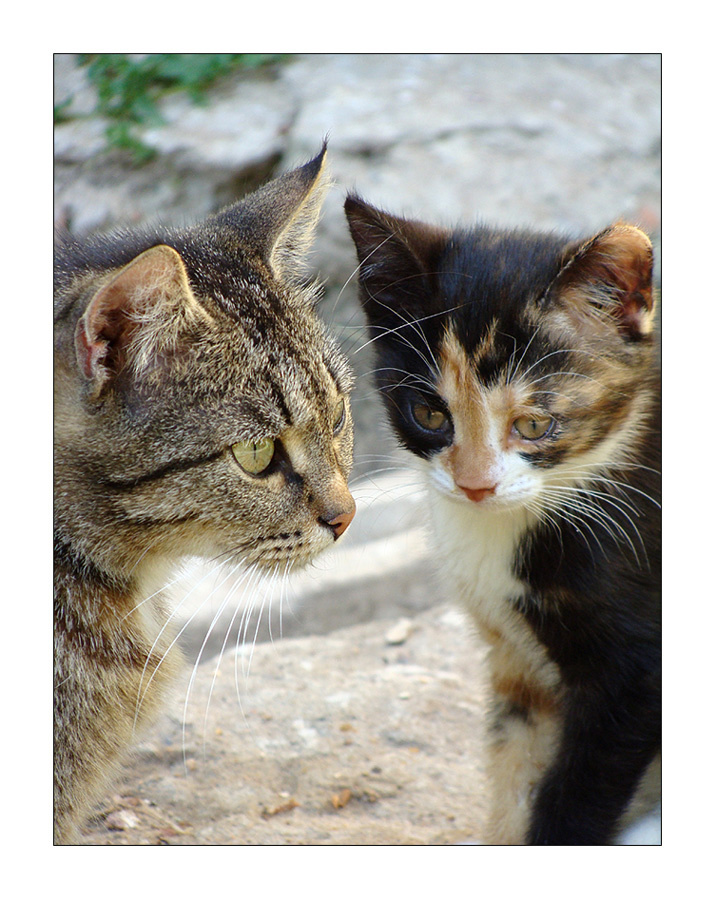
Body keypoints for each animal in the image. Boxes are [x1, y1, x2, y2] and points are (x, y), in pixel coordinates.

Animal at [345, 195, 661, 845]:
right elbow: (513, 772)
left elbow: (574, 802)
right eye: (429, 413)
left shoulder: (637, 675)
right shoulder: (517, 667)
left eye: (534, 425)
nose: (475, 484)